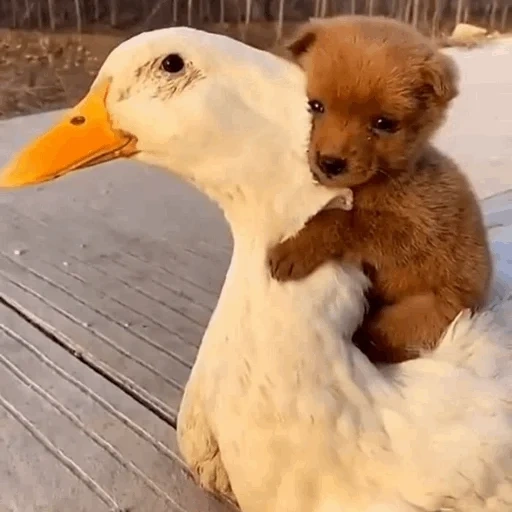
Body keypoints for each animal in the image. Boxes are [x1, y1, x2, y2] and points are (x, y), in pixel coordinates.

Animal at [268, 15, 492, 364]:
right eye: (315, 105)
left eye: (384, 123)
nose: (330, 163)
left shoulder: (414, 231)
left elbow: (345, 220)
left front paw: (294, 250)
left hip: (425, 311)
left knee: (385, 339)